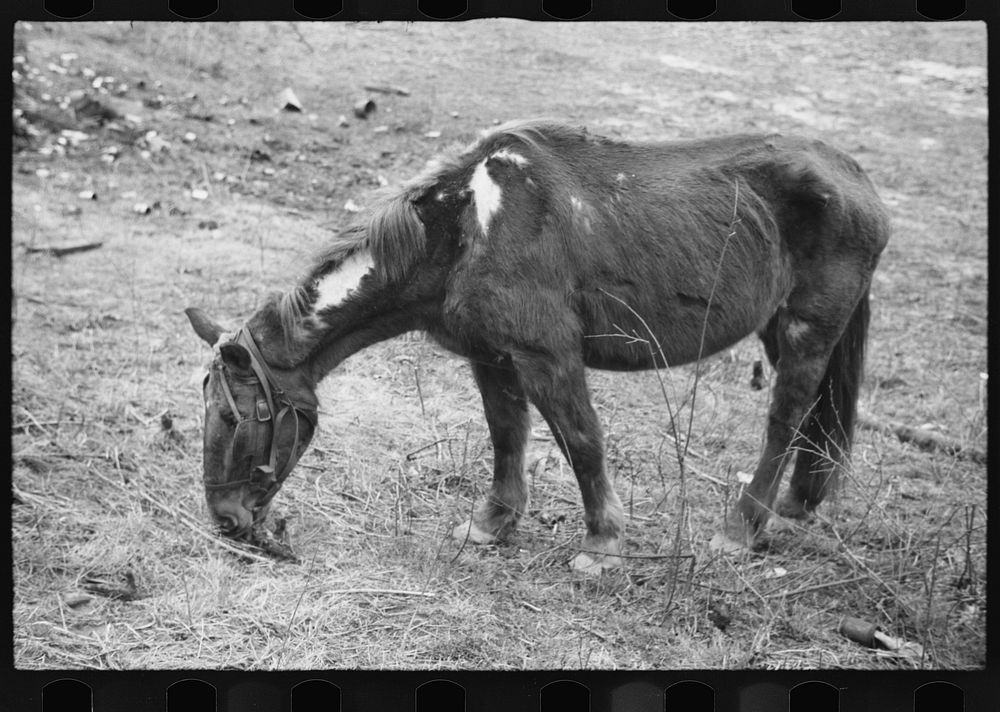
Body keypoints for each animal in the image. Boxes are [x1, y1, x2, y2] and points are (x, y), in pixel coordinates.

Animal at [186, 118, 892, 572]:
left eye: (245, 413)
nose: (226, 518)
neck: (470, 225)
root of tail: (859, 180)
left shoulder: (547, 357)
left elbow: (581, 441)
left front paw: (602, 544)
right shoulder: (491, 356)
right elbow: (507, 436)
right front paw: (492, 524)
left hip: (807, 329)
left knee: (786, 420)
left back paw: (741, 529)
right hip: (780, 329)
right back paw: (794, 506)